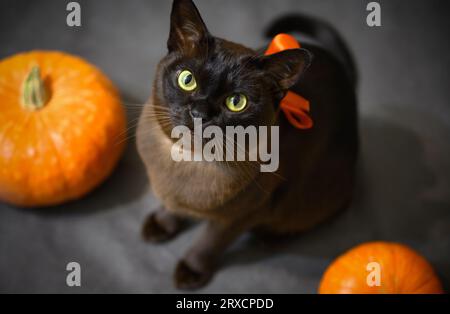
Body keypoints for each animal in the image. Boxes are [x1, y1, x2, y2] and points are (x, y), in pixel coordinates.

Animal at [135, 0, 356, 290]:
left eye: (236, 102)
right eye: (187, 79)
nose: (200, 112)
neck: (188, 160)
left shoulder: (242, 215)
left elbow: (210, 242)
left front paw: (191, 271)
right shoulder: (173, 194)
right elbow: (171, 208)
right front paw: (161, 225)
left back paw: (270, 238)